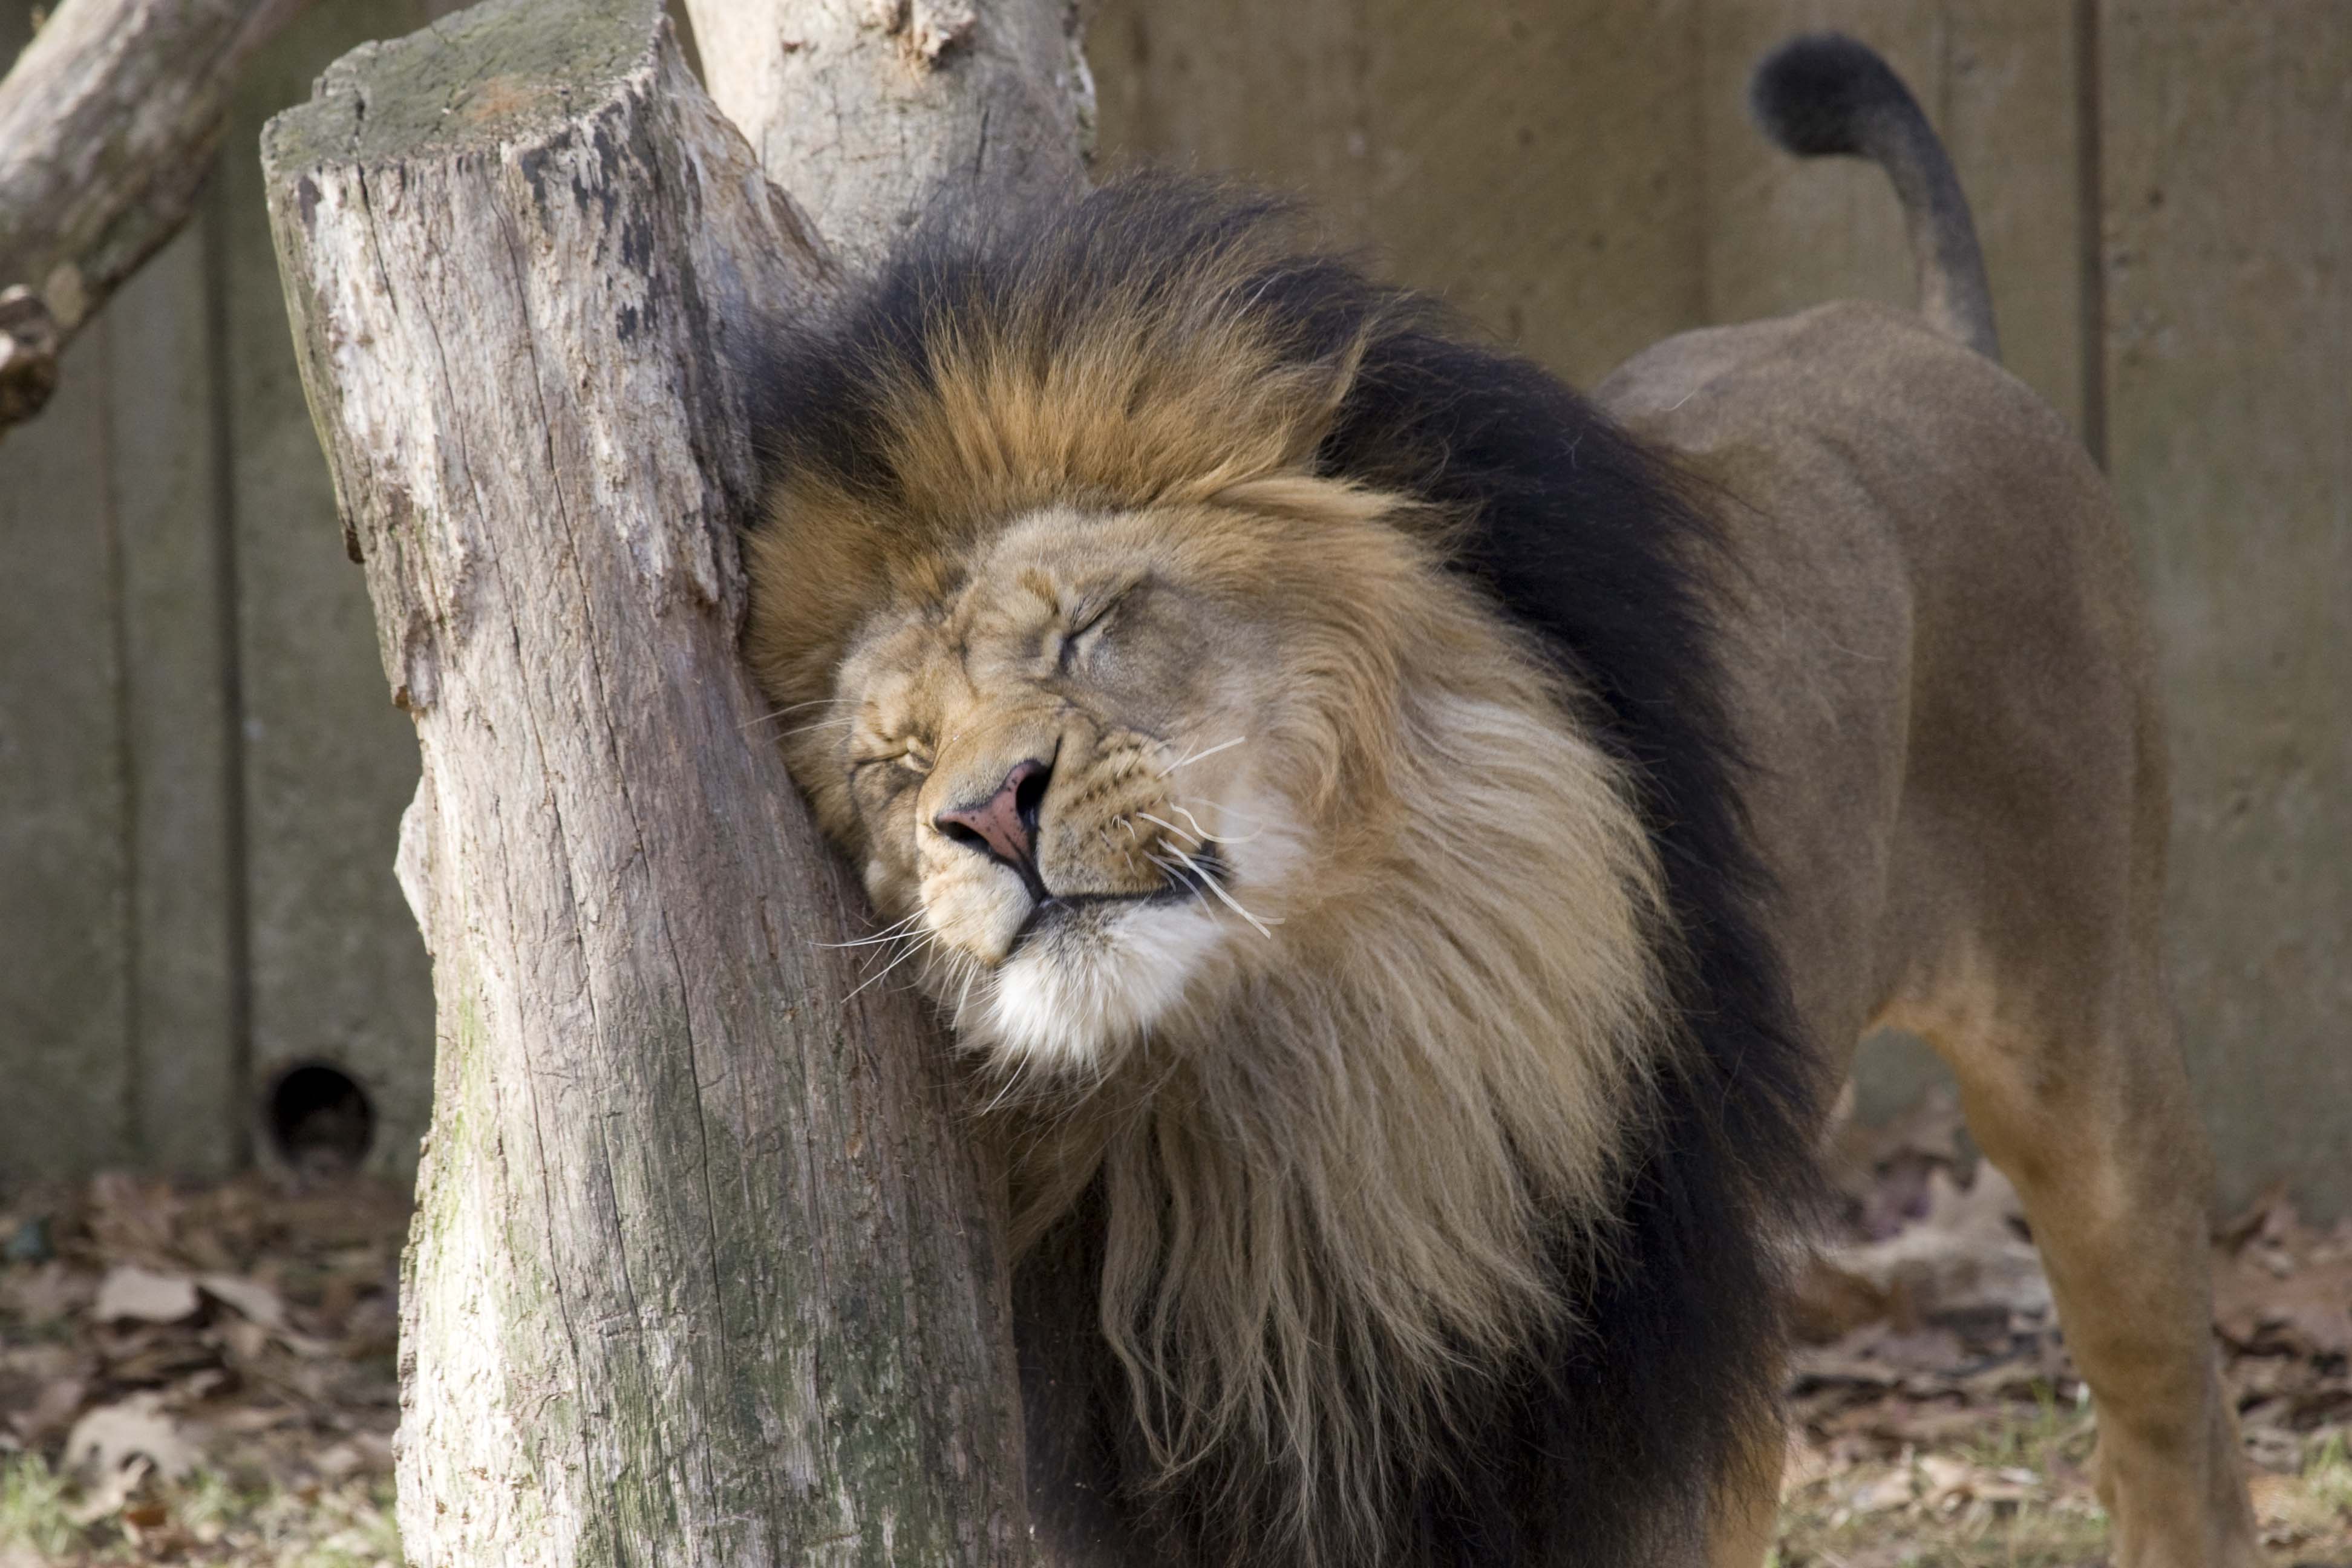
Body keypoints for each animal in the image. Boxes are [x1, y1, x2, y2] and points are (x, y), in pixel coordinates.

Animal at [743, 33, 2262, 1568]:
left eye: (1088, 627)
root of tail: (1932, 343)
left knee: (2175, 1426)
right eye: (891, 765)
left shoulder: (1629, 1406)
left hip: (2087, 1056)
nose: (990, 813)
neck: (1286, 1064)